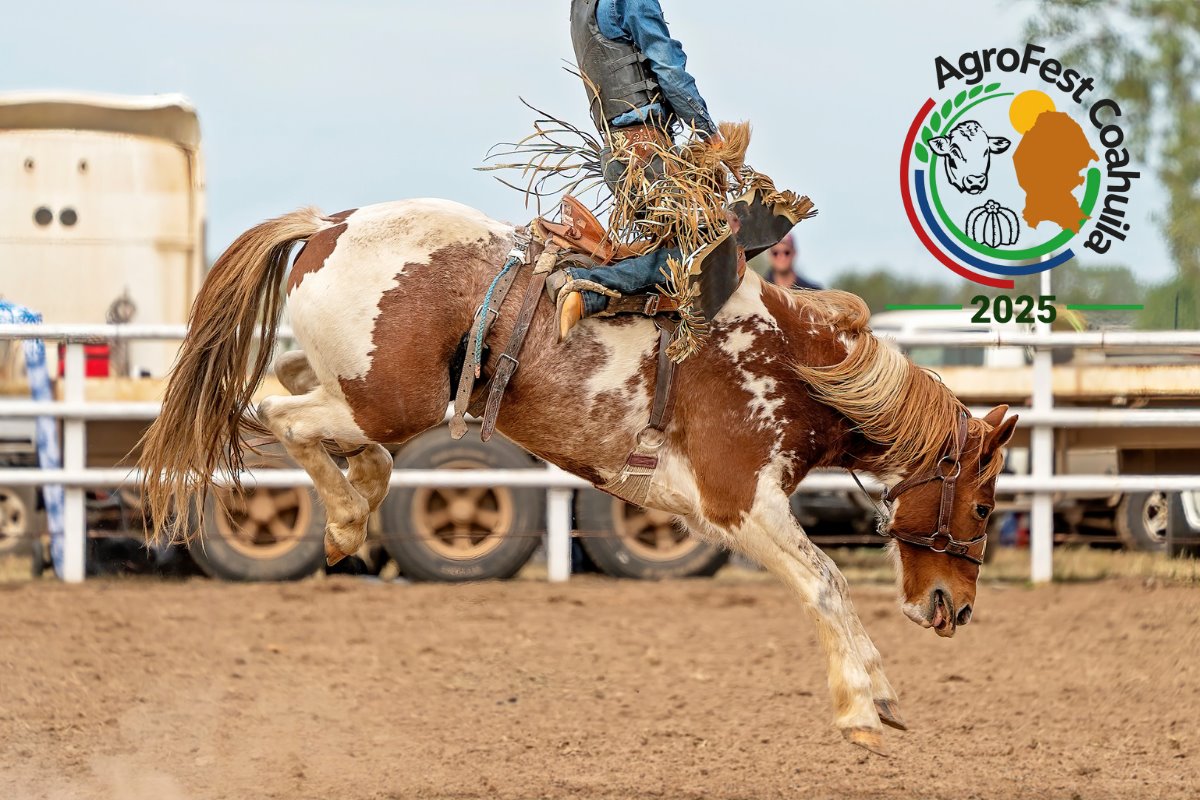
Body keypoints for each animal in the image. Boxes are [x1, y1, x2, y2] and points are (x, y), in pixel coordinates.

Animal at [142, 196, 1022, 753]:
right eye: (983, 507)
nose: (956, 610)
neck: (794, 367)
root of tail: (332, 223)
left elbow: (825, 585)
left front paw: (880, 697)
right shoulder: (741, 504)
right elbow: (827, 584)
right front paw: (864, 709)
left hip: (361, 395)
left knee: (290, 396)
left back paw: (358, 495)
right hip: (379, 401)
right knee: (280, 413)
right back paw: (347, 522)